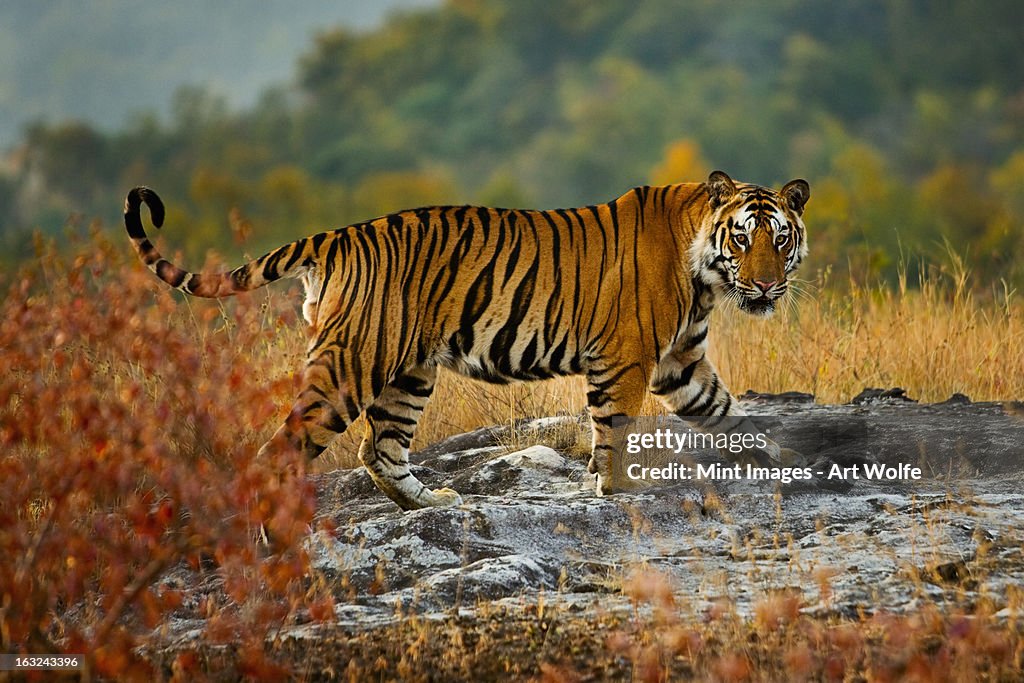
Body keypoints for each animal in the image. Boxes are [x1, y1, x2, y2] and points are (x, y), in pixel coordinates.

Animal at [123, 171, 806, 509]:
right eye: (743, 237)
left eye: (781, 238)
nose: (768, 286)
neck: (707, 276)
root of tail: (337, 235)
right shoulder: (627, 359)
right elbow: (613, 428)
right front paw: (618, 490)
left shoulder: (681, 362)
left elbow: (727, 411)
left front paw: (779, 459)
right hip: (351, 365)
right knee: (282, 450)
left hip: (407, 372)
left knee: (380, 449)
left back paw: (432, 503)